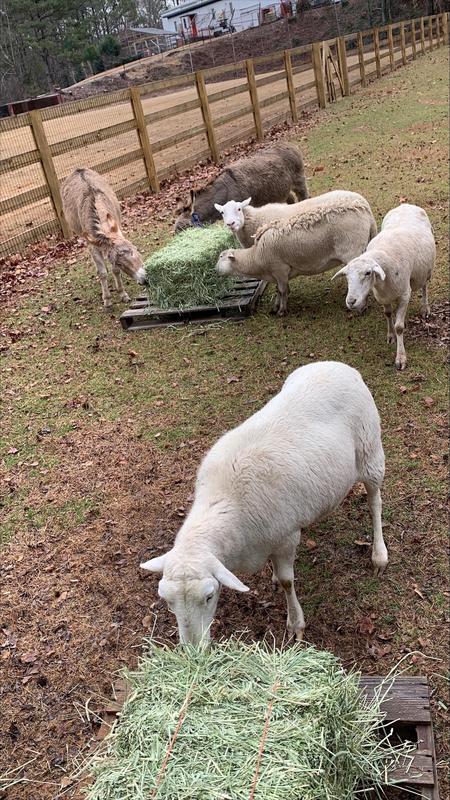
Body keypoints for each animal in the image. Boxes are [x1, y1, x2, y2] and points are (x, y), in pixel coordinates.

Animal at [61, 168, 147, 308]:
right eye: (120, 263)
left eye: (134, 250)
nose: (144, 279)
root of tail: (78, 169)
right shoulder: (93, 246)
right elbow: (102, 273)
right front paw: (107, 300)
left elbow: (115, 271)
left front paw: (122, 294)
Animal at [141, 361, 388, 646]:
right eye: (167, 601)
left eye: (209, 596)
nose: (193, 650)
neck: (225, 502)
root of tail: (337, 365)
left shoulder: (286, 537)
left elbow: (287, 581)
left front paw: (295, 623)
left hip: (370, 450)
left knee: (374, 501)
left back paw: (379, 554)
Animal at [174, 142, 308, 232]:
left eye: (183, 229)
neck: (225, 192)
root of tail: (289, 144)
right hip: (281, 190)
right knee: (290, 200)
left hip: (299, 180)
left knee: (304, 197)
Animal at [332, 204, 435, 370]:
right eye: (346, 276)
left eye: (368, 273)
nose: (351, 301)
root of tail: (406, 204)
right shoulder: (383, 296)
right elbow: (387, 314)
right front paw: (391, 335)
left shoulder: (404, 295)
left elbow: (399, 326)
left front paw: (400, 357)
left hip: (425, 271)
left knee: (424, 287)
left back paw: (425, 308)